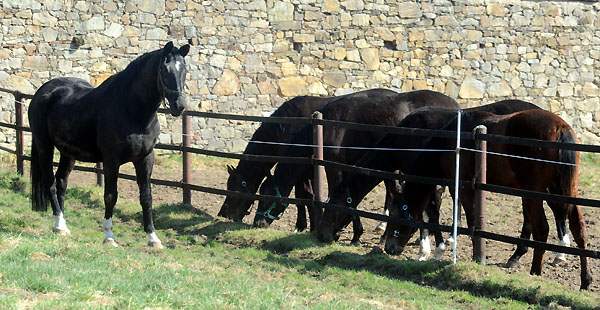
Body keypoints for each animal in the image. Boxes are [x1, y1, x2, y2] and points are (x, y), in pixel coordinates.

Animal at [28, 41, 190, 249]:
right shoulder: (111, 160)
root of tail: (43, 91)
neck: (132, 110)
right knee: (50, 184)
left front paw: (153, 238)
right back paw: (59, 225)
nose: (179, 105)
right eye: (164, 69)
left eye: (184, 69)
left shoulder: (145, 158)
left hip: (68, 153)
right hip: (44, 146)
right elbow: (110, 196)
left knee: (61, 183)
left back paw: (63, 223)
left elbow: (146, 197)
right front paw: (109, 236)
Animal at [217, 88, 398, 231]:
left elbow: (304, 196)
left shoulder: (302, 168)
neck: (288, 125)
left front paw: (303, 226)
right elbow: (305, 196)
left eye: (233, 190)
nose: (223, 214)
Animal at [253, 89, 460, 240]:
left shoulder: (333, 166)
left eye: (265, 198)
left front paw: (351, 234)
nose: (257, 223)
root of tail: (455, 106)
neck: (325, 126)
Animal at [318, 100, 568, 262]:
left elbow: (429, 212)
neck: (411, 135)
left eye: (335, 205)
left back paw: (551, 252)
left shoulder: (430, 179)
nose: (322, 235)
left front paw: (430, 249)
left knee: (551, 209)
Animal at [384, 109, 592, 290]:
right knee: (578, 227)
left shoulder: (462, 187)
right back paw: (585, 280)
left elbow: (470, 221)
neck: (450, 142)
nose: (388, 248)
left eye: (395, 214)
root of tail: (560, 128)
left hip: (534, 192)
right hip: (565, 190)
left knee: (541, 228)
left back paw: (535, 272)